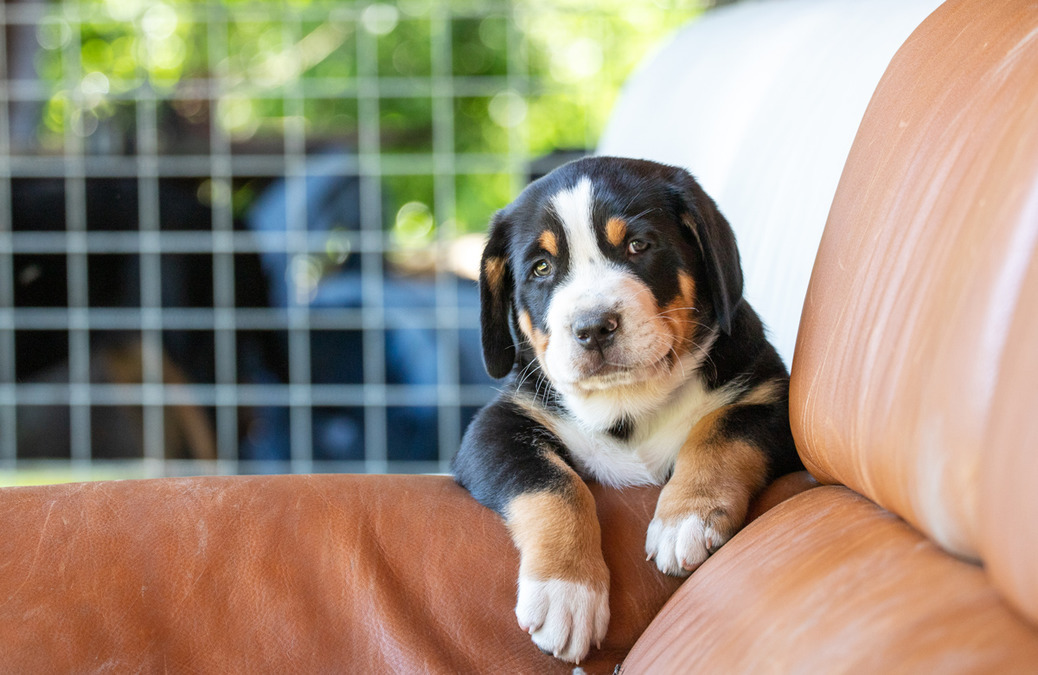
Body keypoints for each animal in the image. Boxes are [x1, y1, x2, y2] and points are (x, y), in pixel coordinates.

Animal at [452, 156, 801, 660]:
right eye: (541, 268)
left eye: (638, 246)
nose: (594, 326)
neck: (628, 402)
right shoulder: (499, 426)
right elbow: (554, 484)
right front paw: (565, 591)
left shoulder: (767, 395)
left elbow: (718, 436)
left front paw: (685, 518)